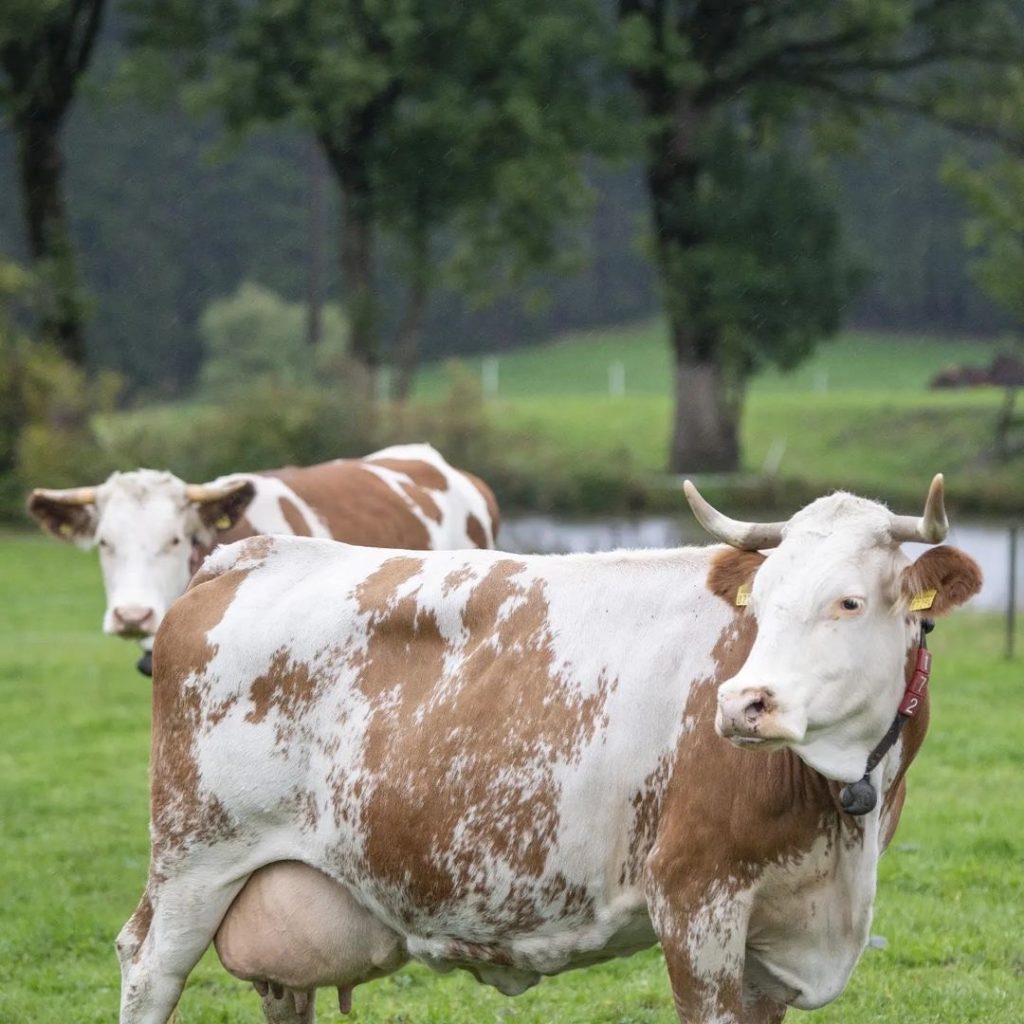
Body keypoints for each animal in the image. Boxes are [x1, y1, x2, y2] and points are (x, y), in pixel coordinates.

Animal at [119, 477, 983, 1024]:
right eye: (761, 604)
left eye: (850, 601)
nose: (744, 702)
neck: (839, 820)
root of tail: (247, 555)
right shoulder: (694, 897)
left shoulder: (775, 935)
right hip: (194, 860)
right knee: (147, 967)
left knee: (280, 987)